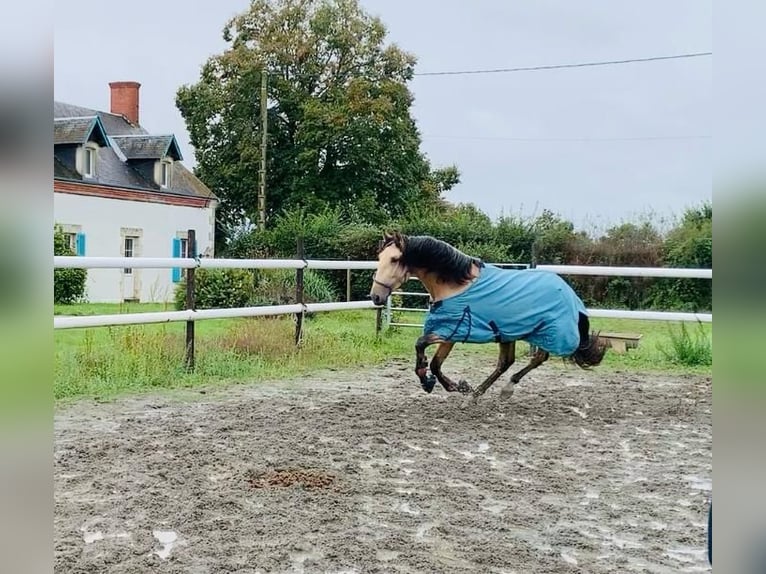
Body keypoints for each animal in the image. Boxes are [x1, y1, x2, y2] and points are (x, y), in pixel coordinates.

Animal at [368, 232, 608, 402]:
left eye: (395, 259)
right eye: (379, 257)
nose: (376, 296)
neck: (455, 285)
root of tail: (569, 293)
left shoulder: (452, 329)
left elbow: (421, 346)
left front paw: (434, 381)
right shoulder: (450, 333)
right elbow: (436, 363)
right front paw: (454, 385)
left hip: (545, 331)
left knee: (537, 358)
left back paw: (502, 390)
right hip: (509, 332)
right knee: (508, 362)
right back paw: (479, 393)